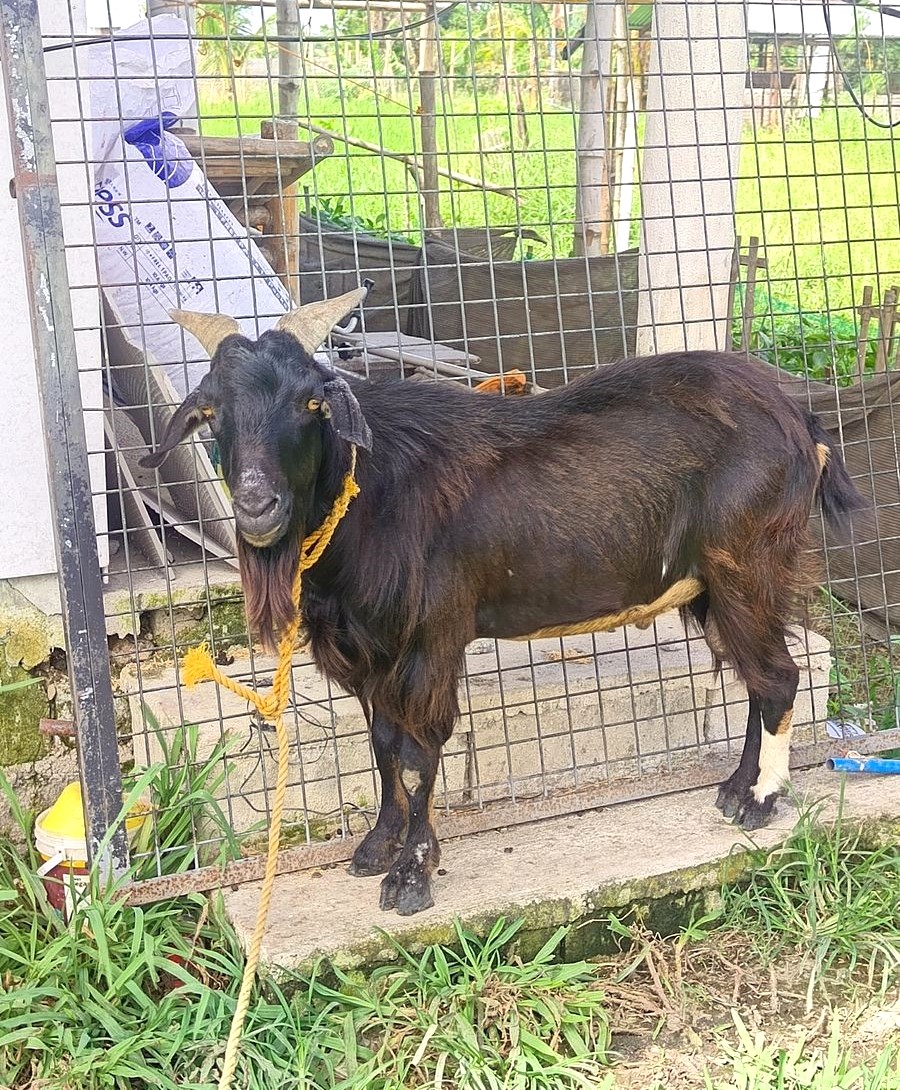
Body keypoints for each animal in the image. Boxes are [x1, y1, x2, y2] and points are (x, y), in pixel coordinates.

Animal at [143, 295, 863, 917]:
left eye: (312, 401)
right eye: (212, 411)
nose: (256, 505)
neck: (373, 492)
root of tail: (803, 424)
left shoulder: (430, 638)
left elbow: (417, 752)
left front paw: (412, 875)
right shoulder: (371, 650)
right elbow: (381, 744)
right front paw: (377, 846)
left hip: (747, 567)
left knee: (779, 677)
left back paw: (762, 800)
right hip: (712, 590)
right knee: (754, 678)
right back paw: (735, 789)